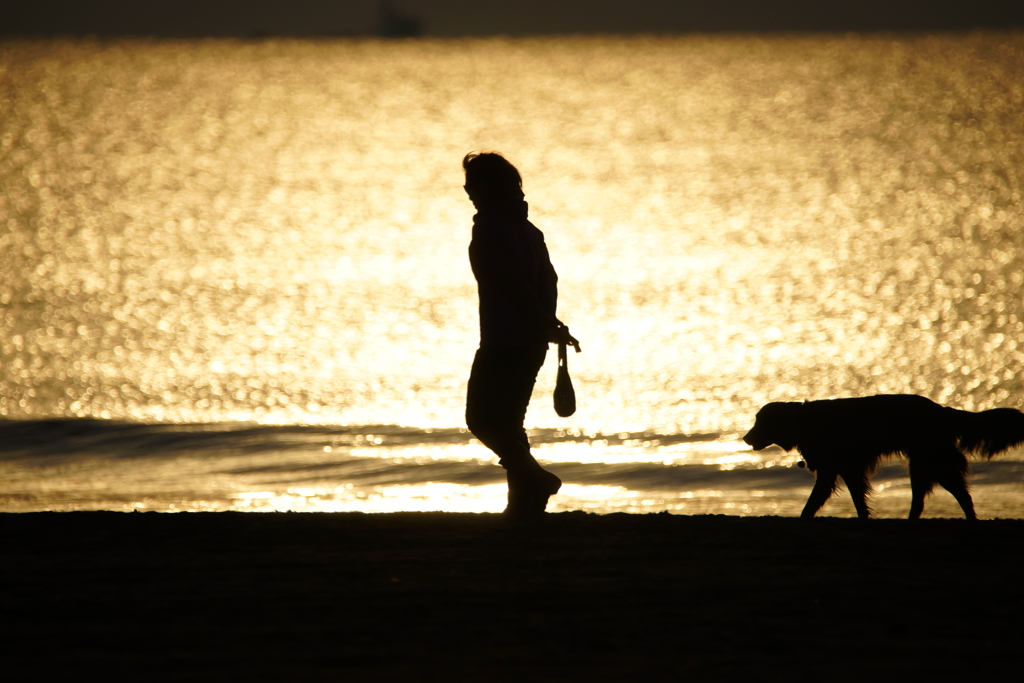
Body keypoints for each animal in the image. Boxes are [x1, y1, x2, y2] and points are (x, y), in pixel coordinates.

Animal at [745, 395, 1024, 518]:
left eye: (759, 422)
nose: (746, 439)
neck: (802, 421)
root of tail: (942, 410)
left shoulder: (832, 471)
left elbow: (813, 502)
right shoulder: (846, 470)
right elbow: (857, 499)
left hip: (930, 462)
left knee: (958, 496)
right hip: (925, 464)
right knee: (930, 499)